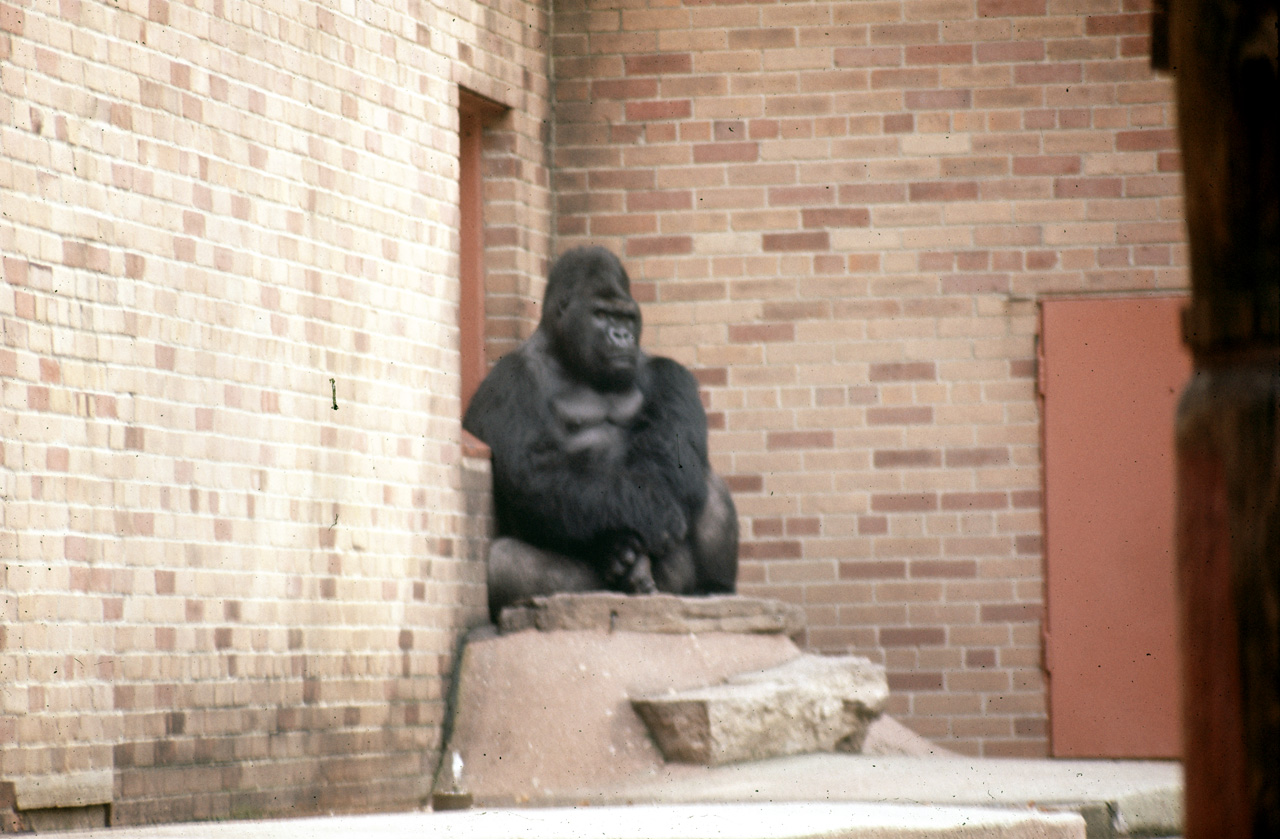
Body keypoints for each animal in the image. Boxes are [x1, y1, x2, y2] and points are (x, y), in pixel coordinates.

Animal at [465, 245, 737, 619]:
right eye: (601, 314)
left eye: (626, 318)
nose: (622, 336)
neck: (567, 357)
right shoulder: (506, 383)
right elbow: (535, 472)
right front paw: (639, 528)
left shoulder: (668, 371)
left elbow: (671, 459)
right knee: (505, 561)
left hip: (672, 586)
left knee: (706, 484)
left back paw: (713, 589)